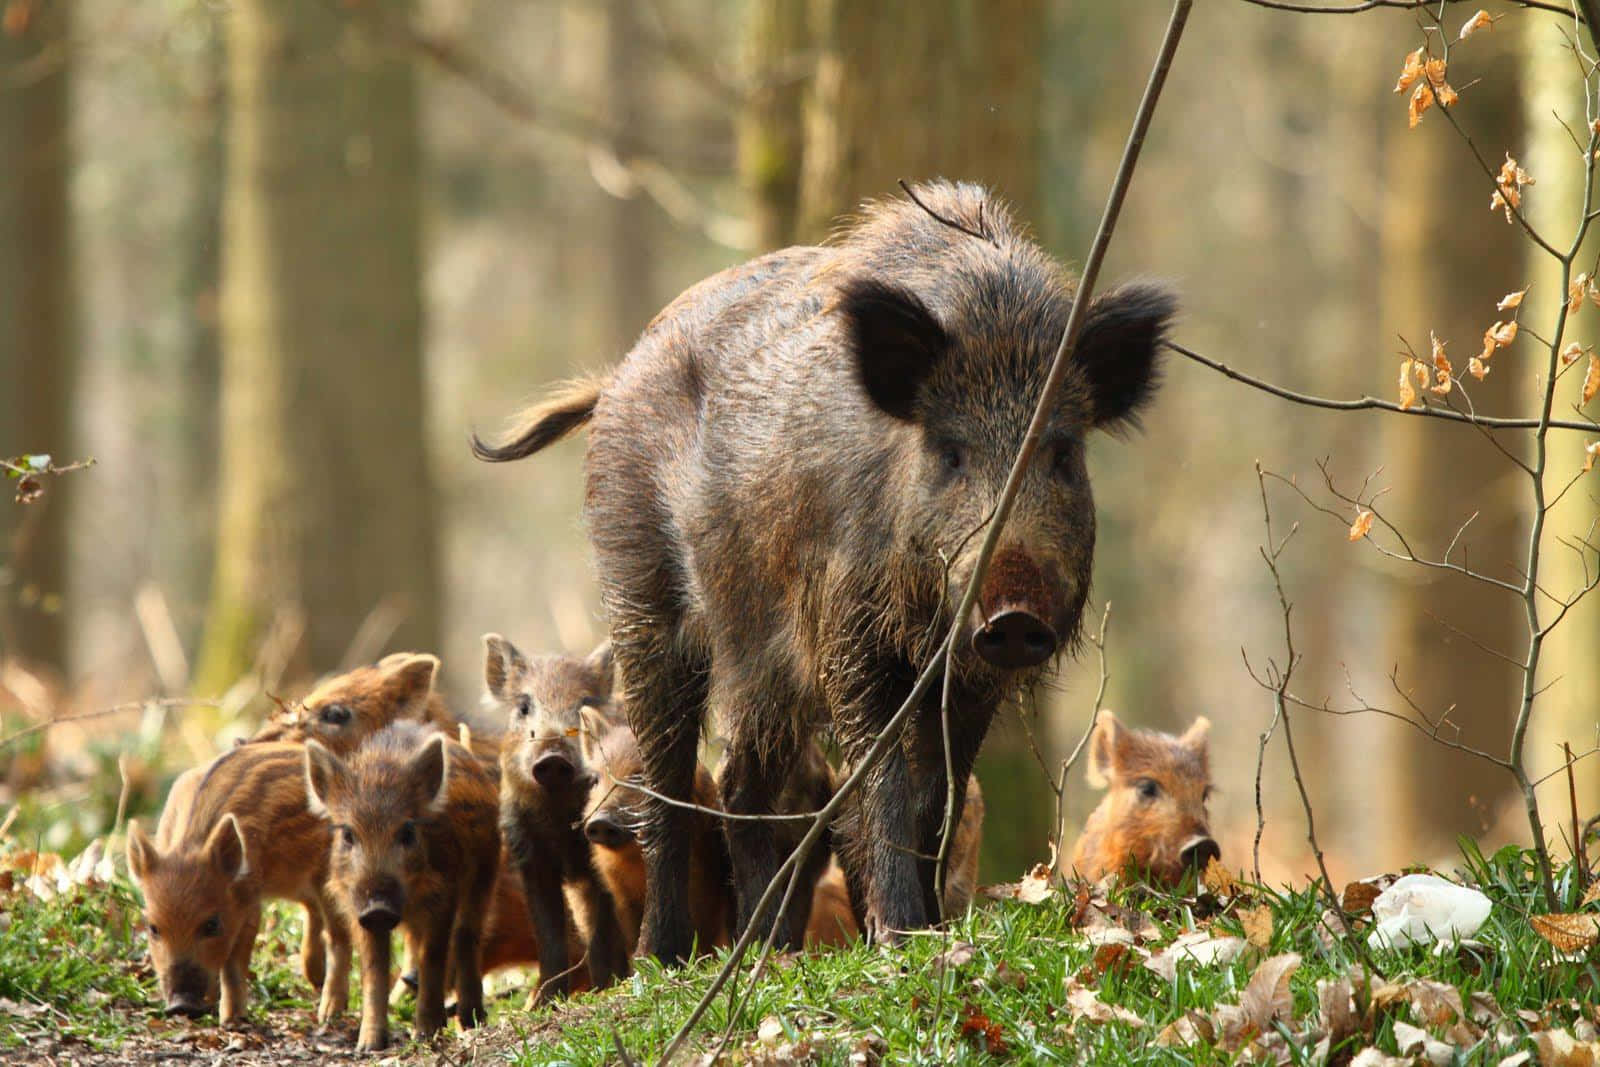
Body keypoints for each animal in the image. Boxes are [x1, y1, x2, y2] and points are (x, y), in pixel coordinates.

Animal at [126, 742, 349, 1025]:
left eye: (212, 924)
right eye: (153, 928)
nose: (181, 1005)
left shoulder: (249, 901)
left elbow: (233, 962)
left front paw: (232, 1019)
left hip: (329, 877)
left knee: (339, 937)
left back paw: (330, 1012)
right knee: (312, 911)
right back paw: (314, 978)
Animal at [304, 722, 498, 1051]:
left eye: (407, 832)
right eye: (348, 834)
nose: (378, 908)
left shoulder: (443, 894)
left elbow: (433, 956)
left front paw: (425, 1035)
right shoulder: (356, 907)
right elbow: (373, 968)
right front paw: (368, 1046)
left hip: (485, 874)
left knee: (466, 936)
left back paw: (471, 1020)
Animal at [483, 634, 630, 1000]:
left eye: (584, 703)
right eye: (524, 707)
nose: (552, 757)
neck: (557, 819)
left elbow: (602, 928)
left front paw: (603, 989)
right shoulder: (529, 856)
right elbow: (548, 934)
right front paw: (545, 1001)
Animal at [580, 710, 732, 952]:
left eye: (640, 777)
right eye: (594, 779)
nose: (600, 821)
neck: (635, 862)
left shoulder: (704, 884)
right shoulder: (620, 896)